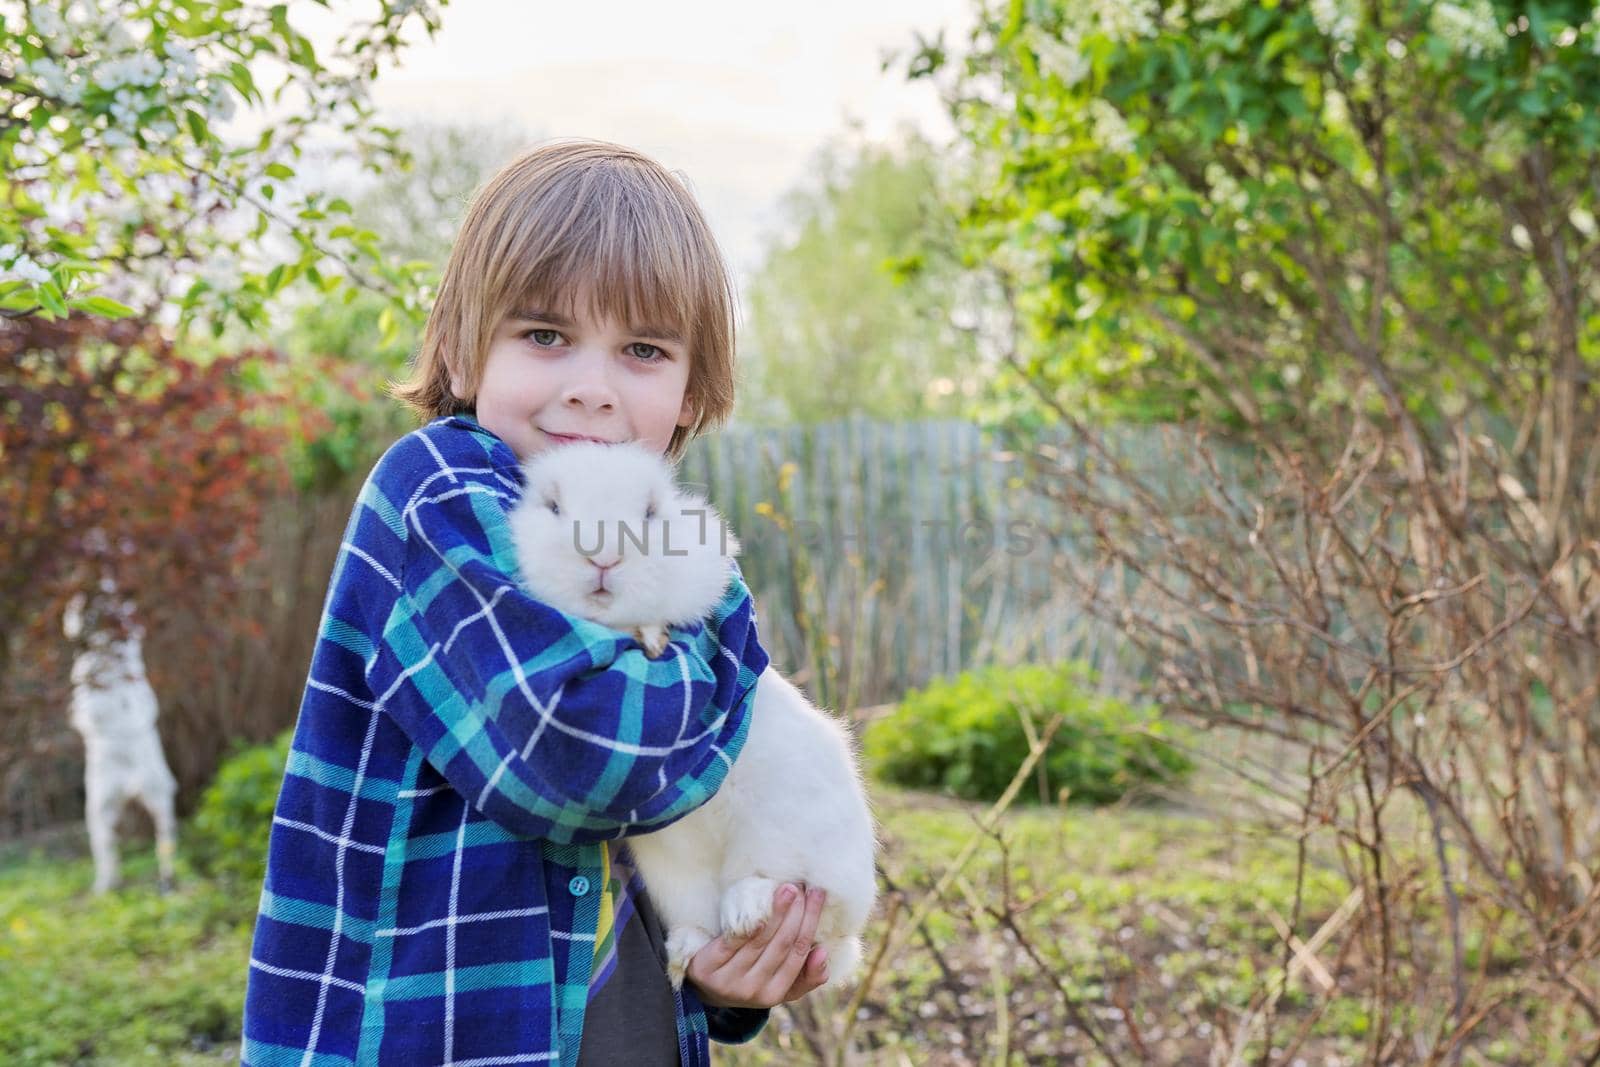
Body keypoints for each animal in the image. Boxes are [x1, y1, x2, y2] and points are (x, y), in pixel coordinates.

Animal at [63, 579, 178, 895]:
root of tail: (132, 780)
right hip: (160, 800)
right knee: (165, 841)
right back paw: (168, 877)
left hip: (98, 806)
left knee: (105, 849)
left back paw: (105, 884)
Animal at [508, 441, 883, 991]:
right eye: (553, 507)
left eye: (649, 514)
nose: (602, 558)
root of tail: (843, 951)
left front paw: (650, 634)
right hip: (676, 876)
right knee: (701, 922)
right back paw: (684, 954)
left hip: (787, 840)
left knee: (784, 887)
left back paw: (747, 911)